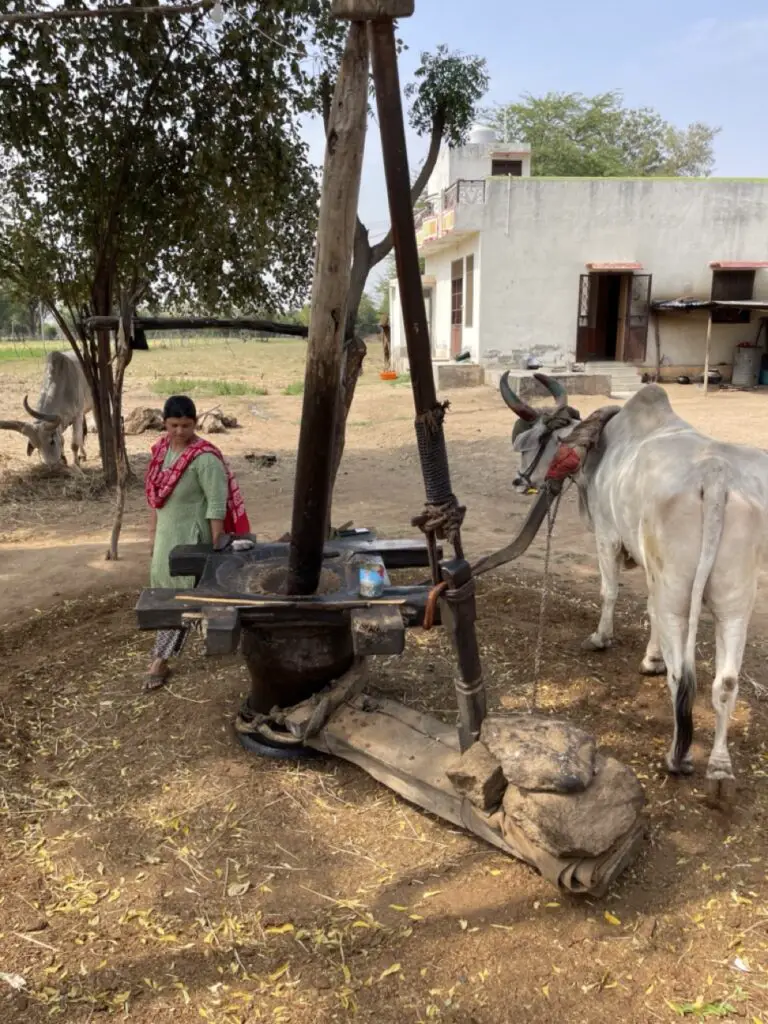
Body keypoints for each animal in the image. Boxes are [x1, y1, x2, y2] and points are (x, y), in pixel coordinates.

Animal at [501, 372, 768, 802]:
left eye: (531, 443)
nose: (517, 480)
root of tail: (714, 475)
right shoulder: (651, 566)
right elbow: (649, 610)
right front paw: (651, 658)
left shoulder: (609, 538)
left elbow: (610, 592)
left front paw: (601, 638)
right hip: (734, 602)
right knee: (725, 682)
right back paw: (719, 768)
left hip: (680, 593)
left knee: (682, 678)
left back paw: (678, 757)